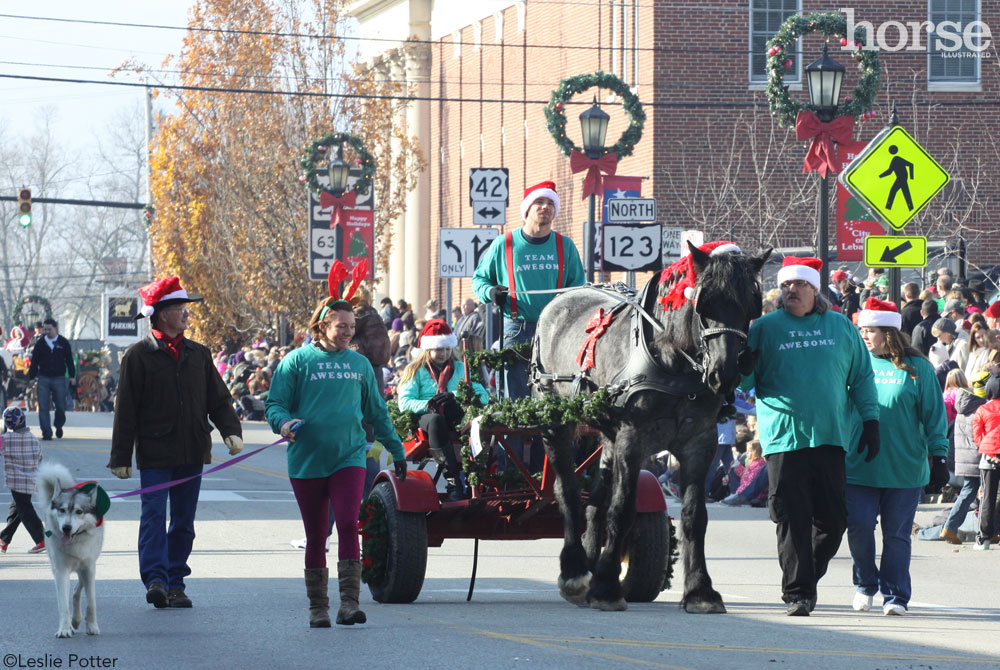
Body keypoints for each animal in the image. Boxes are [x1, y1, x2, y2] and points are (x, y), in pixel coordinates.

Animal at [34, 464, 104, 636]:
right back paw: (74, 622)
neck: (75, 542)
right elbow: (63, 605)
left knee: (77, 590)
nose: (66, 527)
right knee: (71, 592)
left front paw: (92, 626)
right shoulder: (61, 571)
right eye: (62, 510)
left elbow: (91, 602)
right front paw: (65, 629)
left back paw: (78, 619)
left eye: (79, 511)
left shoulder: (89, 569)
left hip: (86, 569)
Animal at [532, 243, 764, 616]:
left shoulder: (701, 442)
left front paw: (700, 591)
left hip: (608, 435)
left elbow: (694, 517)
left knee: (596, 501)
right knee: (566, 490)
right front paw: (607, 588)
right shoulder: (633, 438)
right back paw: (575, 570)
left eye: (750, 306)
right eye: (704, 303)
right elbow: (623, 510)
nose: (724, 374)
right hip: (554, 419)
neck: (675, 362)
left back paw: (591, 565)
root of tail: (559, 300)